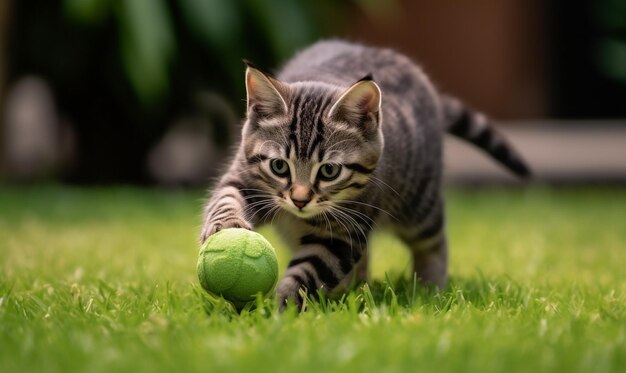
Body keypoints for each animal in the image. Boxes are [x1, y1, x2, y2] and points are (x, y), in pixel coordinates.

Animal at [199, 40, 528, 308]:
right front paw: (225, 225)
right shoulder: (243, 177)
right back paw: (354, 289)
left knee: (433, 240)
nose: (300, 200)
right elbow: (225, 198)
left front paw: (285, 306)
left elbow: (311, 269)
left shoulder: (346, 232)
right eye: (279, 166)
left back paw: (429, 287)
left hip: (418, 202)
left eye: (329, 171)